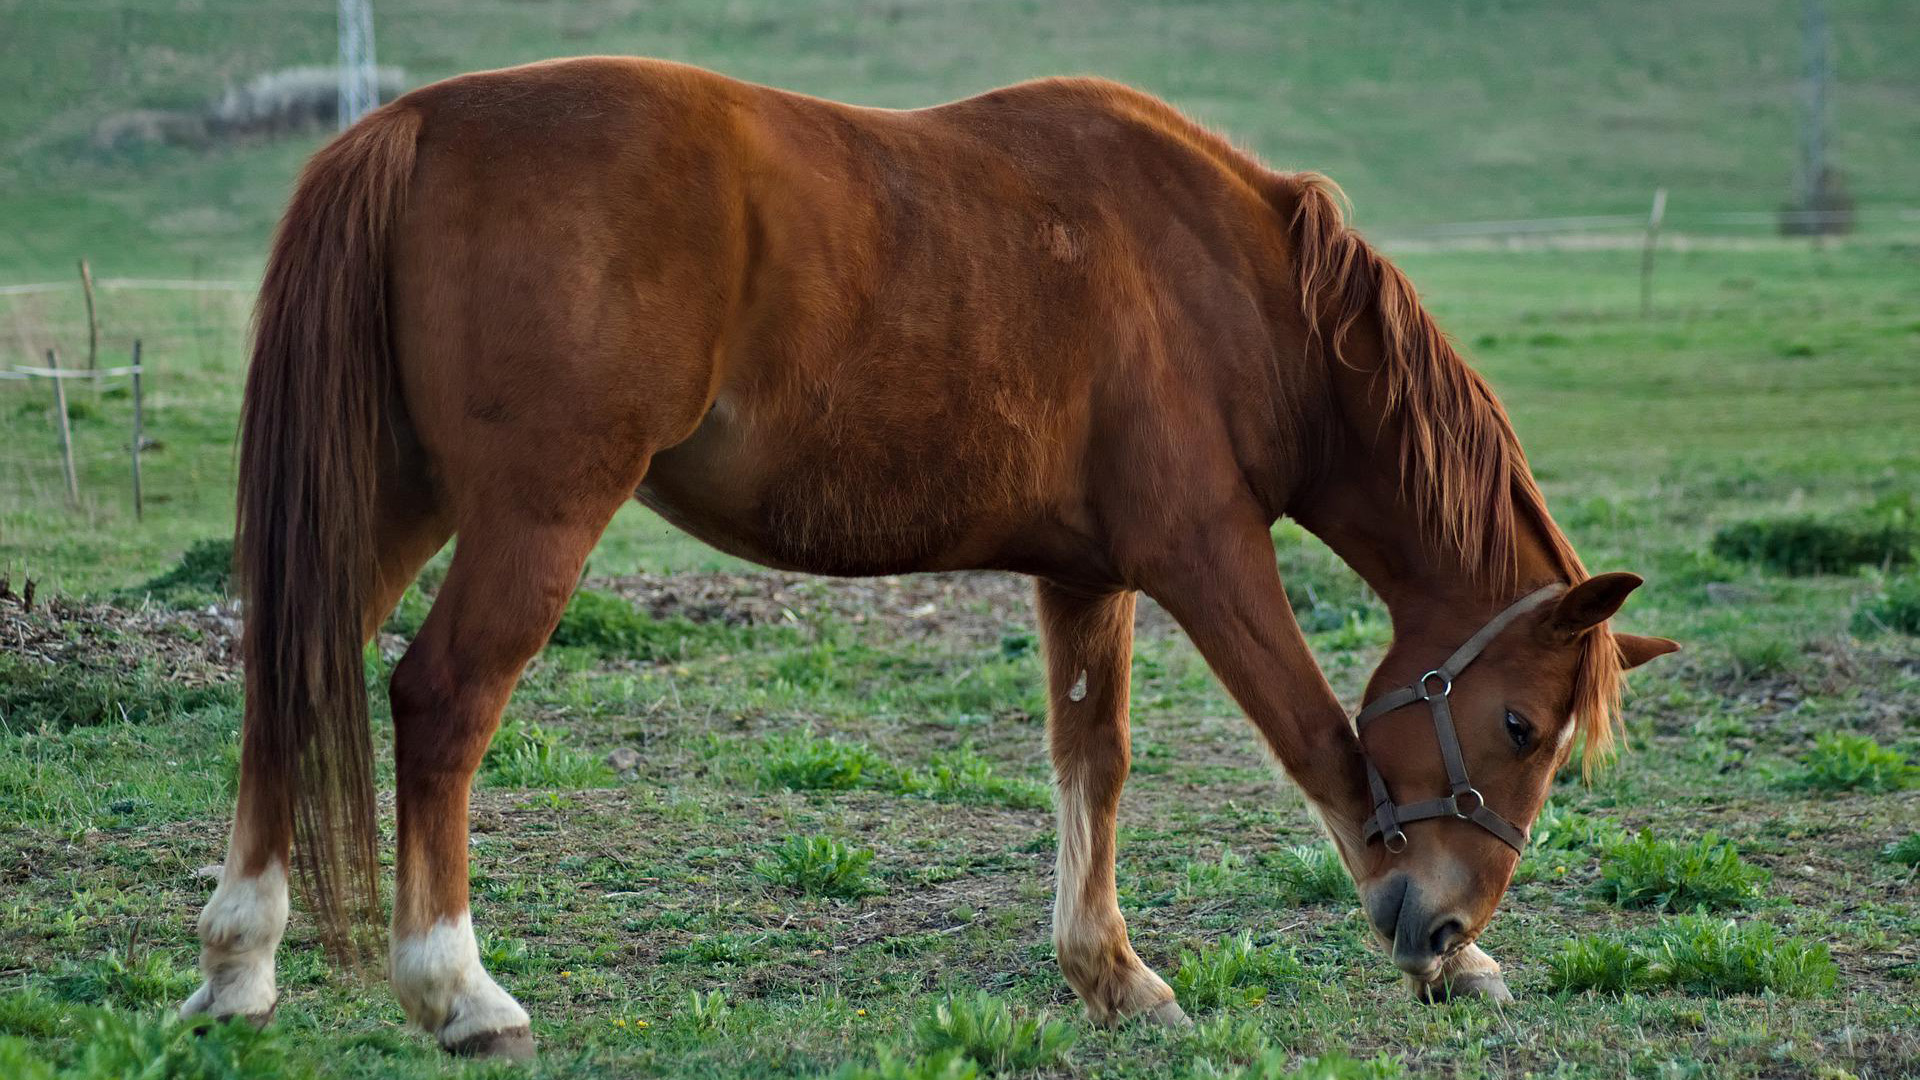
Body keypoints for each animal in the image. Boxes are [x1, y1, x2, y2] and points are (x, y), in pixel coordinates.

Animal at [183, 56, 1681, 1053]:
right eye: (1519, 725)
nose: (1444, 922)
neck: (1238, 287)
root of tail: (412, 122)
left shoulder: (1087, 574)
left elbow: (1093, 766)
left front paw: (1108, 972)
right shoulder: (1204, 556)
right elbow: (1318, 738)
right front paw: (1432, 955)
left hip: (400, 499)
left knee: (290, 672)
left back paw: (237, 963)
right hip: (531, 513)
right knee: (439, 703)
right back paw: (457, 991)